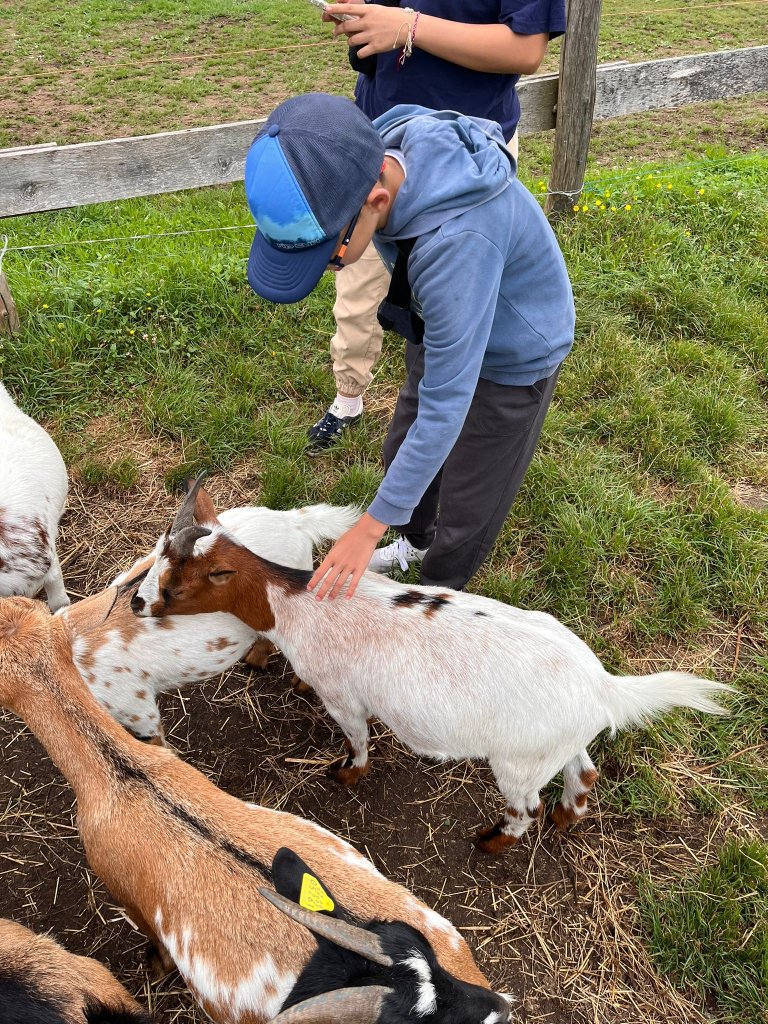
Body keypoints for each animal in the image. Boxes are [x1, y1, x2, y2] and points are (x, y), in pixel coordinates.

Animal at [132, 479, 734, 854]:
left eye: (177, 585)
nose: (137, 603)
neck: (294, 602)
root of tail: (603, 686)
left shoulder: (344, 698)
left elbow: (357, 741)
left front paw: (345, 774)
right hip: (551, 745)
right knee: (582, 772)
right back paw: (567, 817)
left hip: (516, 763)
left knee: (525, 811)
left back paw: (491, 843)